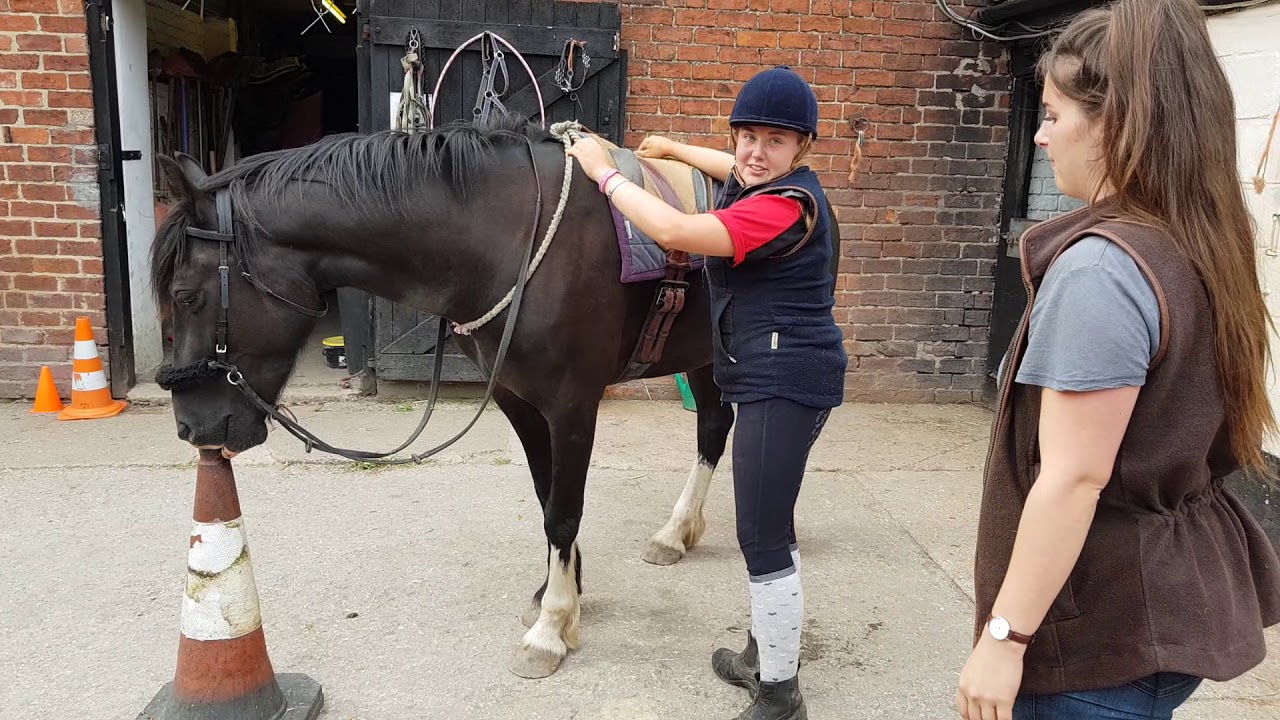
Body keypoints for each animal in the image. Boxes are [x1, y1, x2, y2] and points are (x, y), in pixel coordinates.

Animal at [150, 114, 839, 679]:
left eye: (185, 296)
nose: (190, 427)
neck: (501, 239)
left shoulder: (573, 405)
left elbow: (564, 510)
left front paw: (551, 631)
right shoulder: (518, 400)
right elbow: (545, 497)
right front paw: (561, 593)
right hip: (702, 355)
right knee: (713, 428)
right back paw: (677, 533)